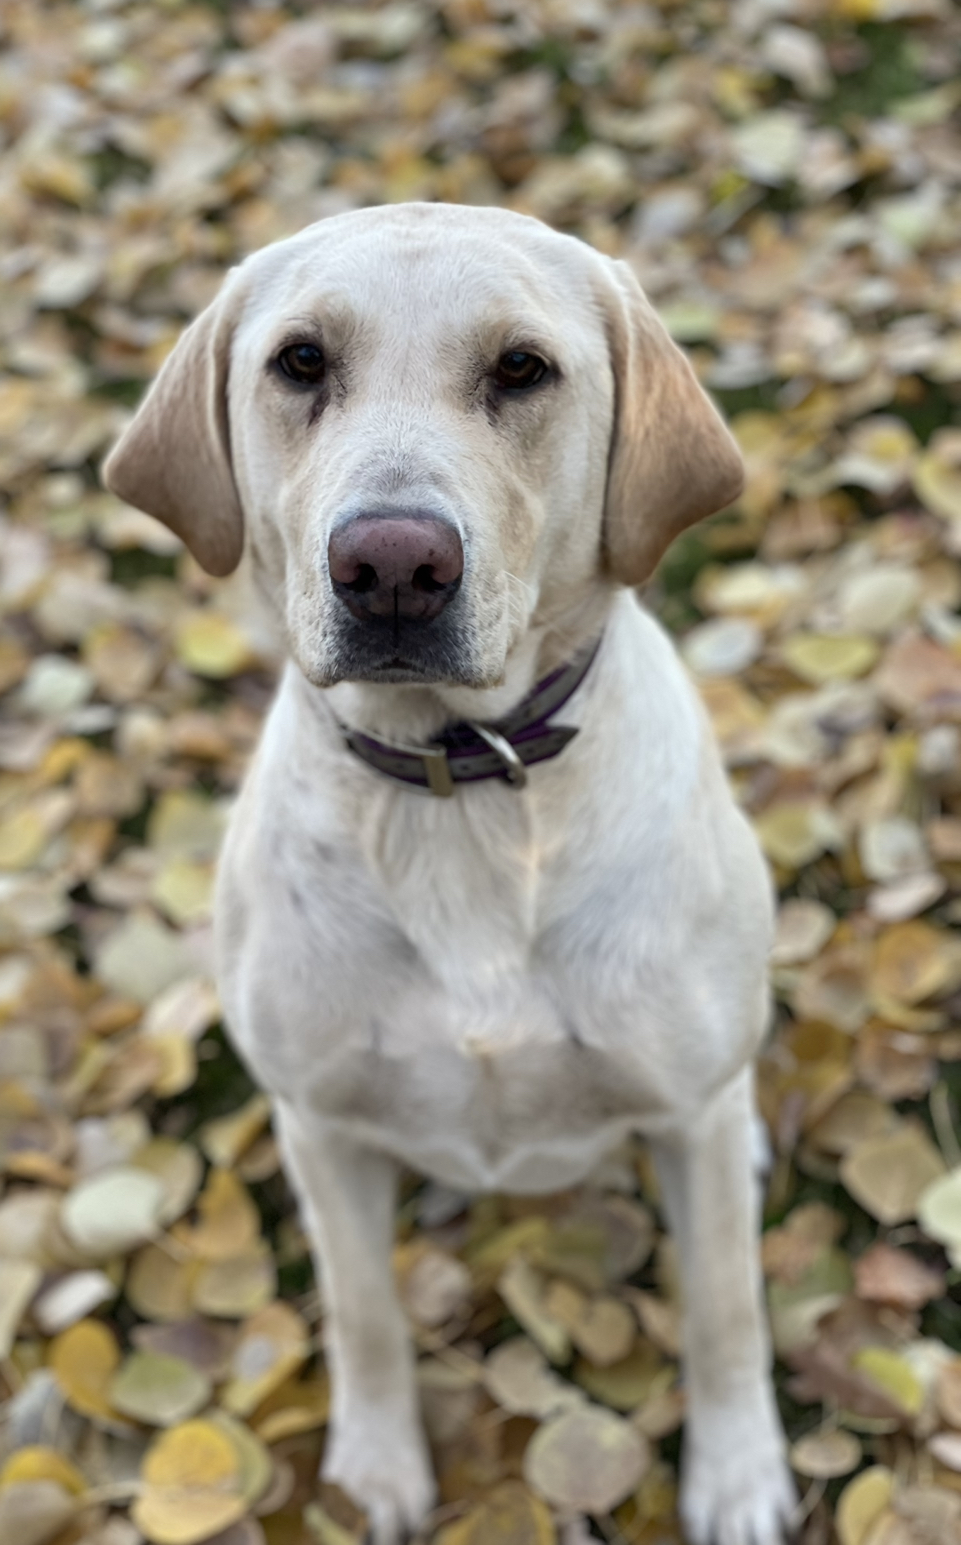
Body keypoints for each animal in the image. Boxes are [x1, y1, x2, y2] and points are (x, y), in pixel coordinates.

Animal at [103, 205, 797, 1545]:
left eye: (522, 369)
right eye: (300, 363)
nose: (390, 565)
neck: (459, 785)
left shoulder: (684, 1110)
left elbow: (725, 1308)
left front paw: (738, 1476)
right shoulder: (318, 1127)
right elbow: (363, 1313)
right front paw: (373, 1472)